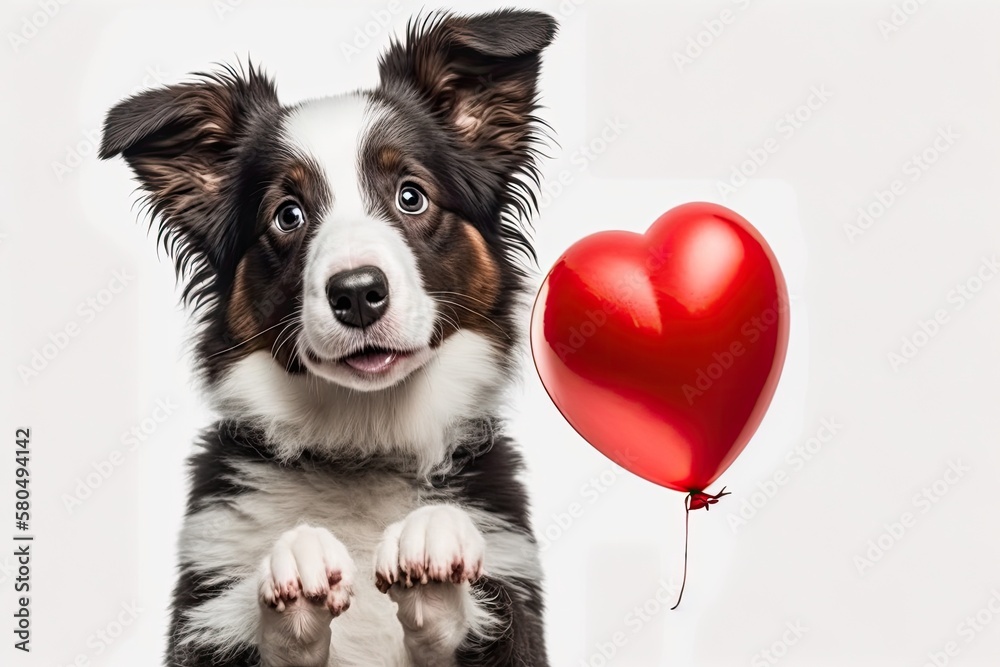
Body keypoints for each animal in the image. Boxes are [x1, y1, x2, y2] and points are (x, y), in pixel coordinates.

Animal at [96, 10, 556, 667]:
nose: (358, 292)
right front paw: (296, 562)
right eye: (287, 215)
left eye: (410, 195)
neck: (363, 445)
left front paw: (435, 548)